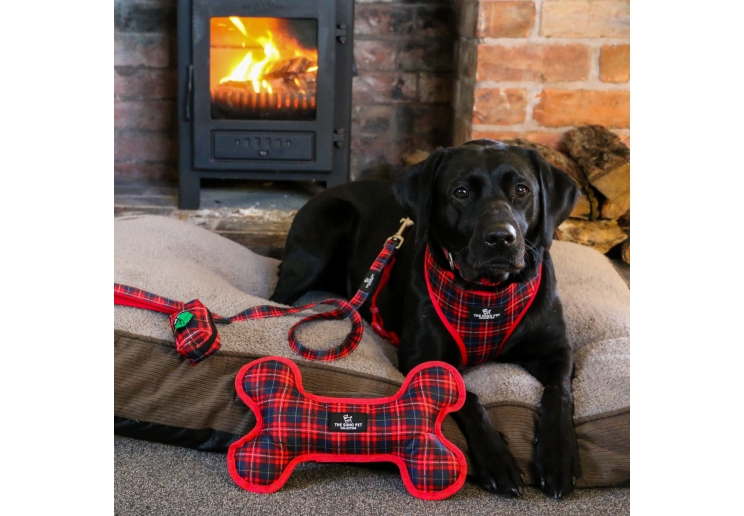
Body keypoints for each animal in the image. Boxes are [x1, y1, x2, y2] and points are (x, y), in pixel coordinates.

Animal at [272, 139, 580, 498]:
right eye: (461, 192)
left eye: (521, 190)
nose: (501, 238)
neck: (488, 295)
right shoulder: (423, 355)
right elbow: (468, 397)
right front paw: (498, 459)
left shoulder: (557, 350)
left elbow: (559, 392)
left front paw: (558, 458)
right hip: (323, 235)